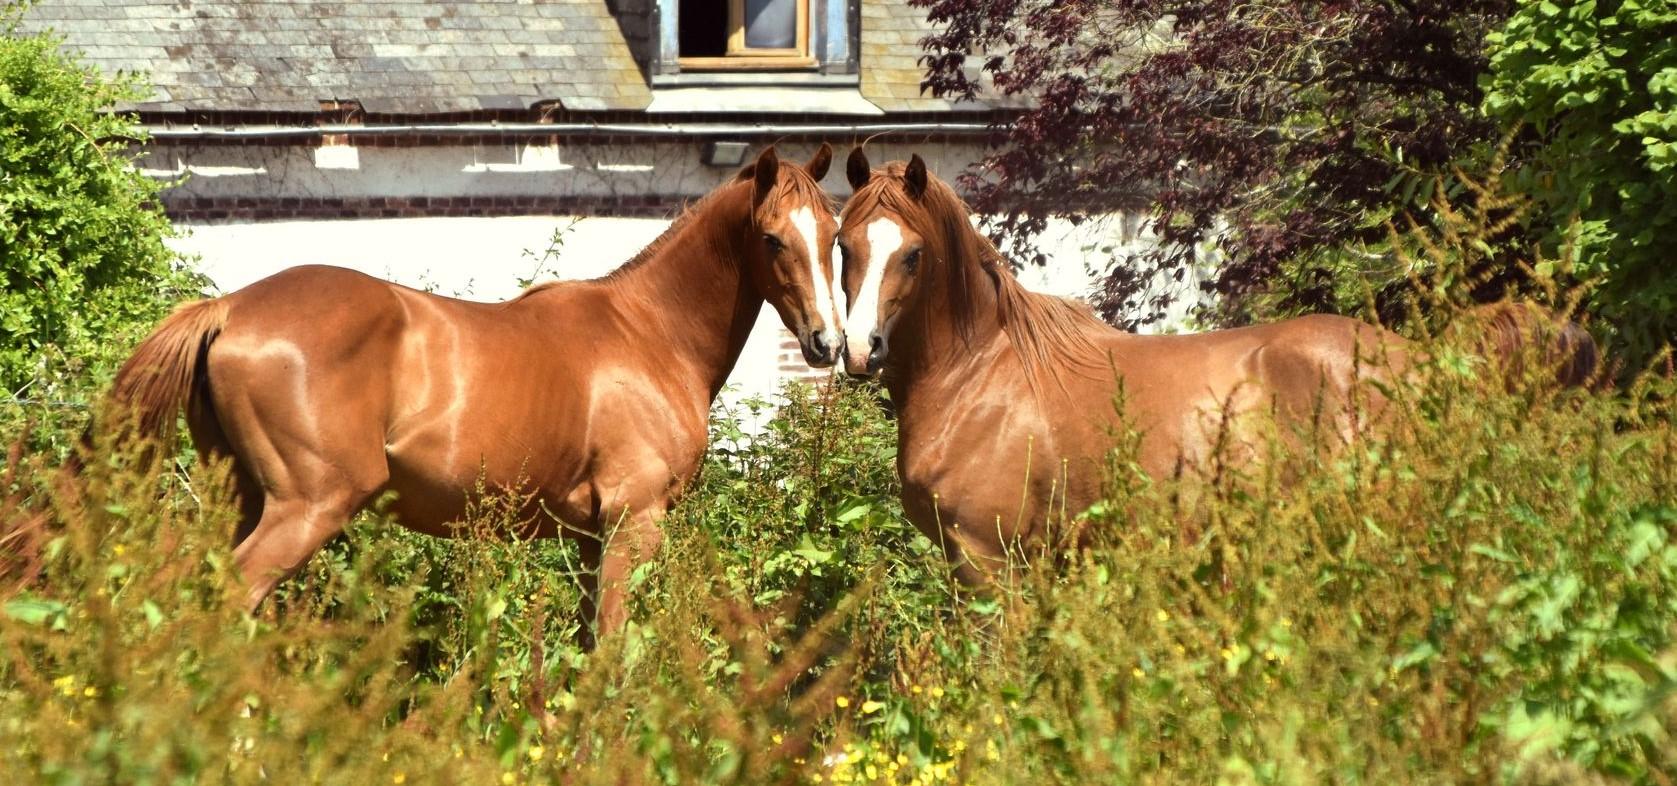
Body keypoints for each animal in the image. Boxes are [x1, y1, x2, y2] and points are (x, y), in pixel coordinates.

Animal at [98, 144, 844, 646]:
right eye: (772, 238)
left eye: (834, 236)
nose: (827, 343)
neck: (648, 332)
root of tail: (230, 308)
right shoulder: (634, 525)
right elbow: (612, 652)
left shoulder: (587, 539)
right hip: (305, 508)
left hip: (242, 499)